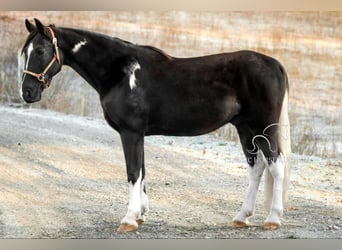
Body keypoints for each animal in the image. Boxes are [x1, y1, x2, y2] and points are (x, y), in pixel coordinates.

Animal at [20, 18, 290, 233]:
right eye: (26, 52)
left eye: (41, 50)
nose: (28, 92)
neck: (120, 72)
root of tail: (275, 64)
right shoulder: (138, 134)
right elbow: (142, 173)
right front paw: (140, 215)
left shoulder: (131, 133)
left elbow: (132, 172)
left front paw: (129, 220)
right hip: (246, 129)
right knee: (256, 167)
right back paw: (241, 217)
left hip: (264, 128)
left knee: (276, 166)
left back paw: (273, 219)